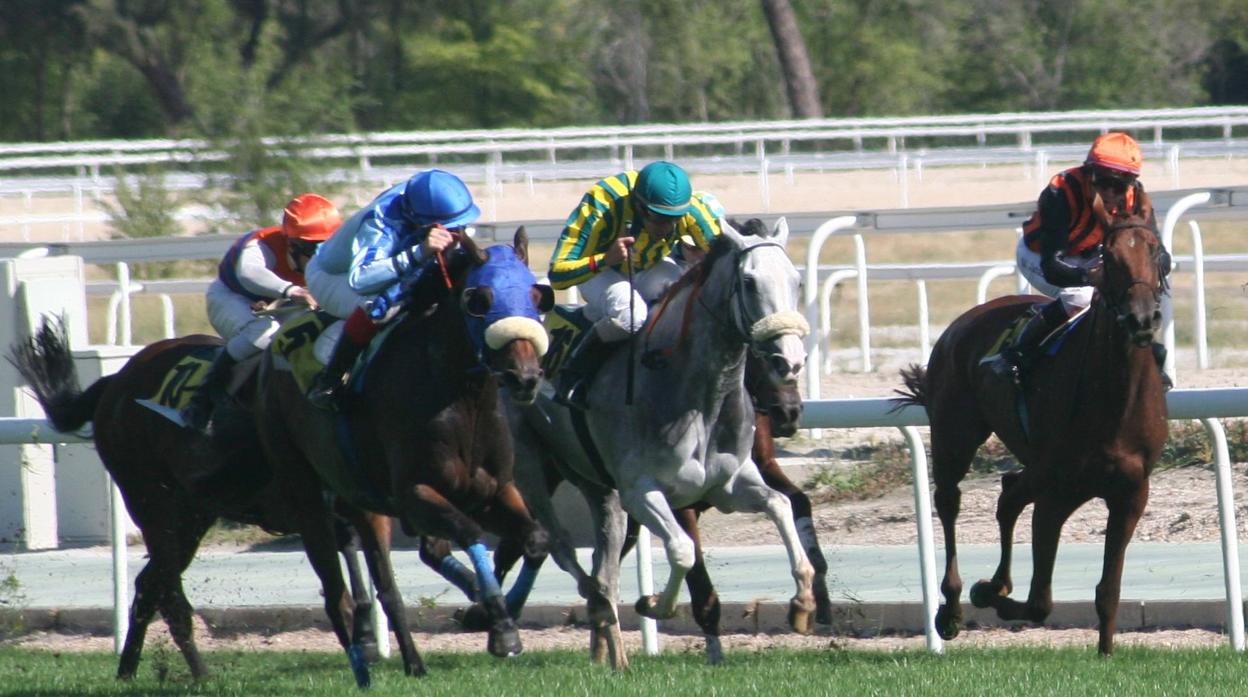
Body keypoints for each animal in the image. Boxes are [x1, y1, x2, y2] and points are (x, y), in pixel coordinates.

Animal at [6, 322, 394, 684]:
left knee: (149, 585)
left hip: (193, 515)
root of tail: (117, 381)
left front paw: (369, 639)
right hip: (151, 501)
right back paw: (201, 675)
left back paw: (127, 671)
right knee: (169, 593)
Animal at [509, 217, 818, 664]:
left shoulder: (728, 485)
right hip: (531, 470)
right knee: (563, 550)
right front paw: (656, 604)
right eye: (748, 281)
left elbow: (779, 505)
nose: (789, 360)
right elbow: (683, 551)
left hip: (599, 489)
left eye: (796, 280)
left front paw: (803, 600)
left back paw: (612, 654)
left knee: (604, 567)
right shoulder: (645, 492)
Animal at [893, 199, 1163, 659]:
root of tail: (968, 318)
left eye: (1158, 251)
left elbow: (1108, 591)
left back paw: (993, 584)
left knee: (1009, 494)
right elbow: (1040, 602)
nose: (1141, 318)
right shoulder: (1057, 492)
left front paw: (1106, 653)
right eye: (1109, 259)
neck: (1114, 398)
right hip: (956, 434)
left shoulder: (1129, 493)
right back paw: (953, 606)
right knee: (950, 499)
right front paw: (987, 594)